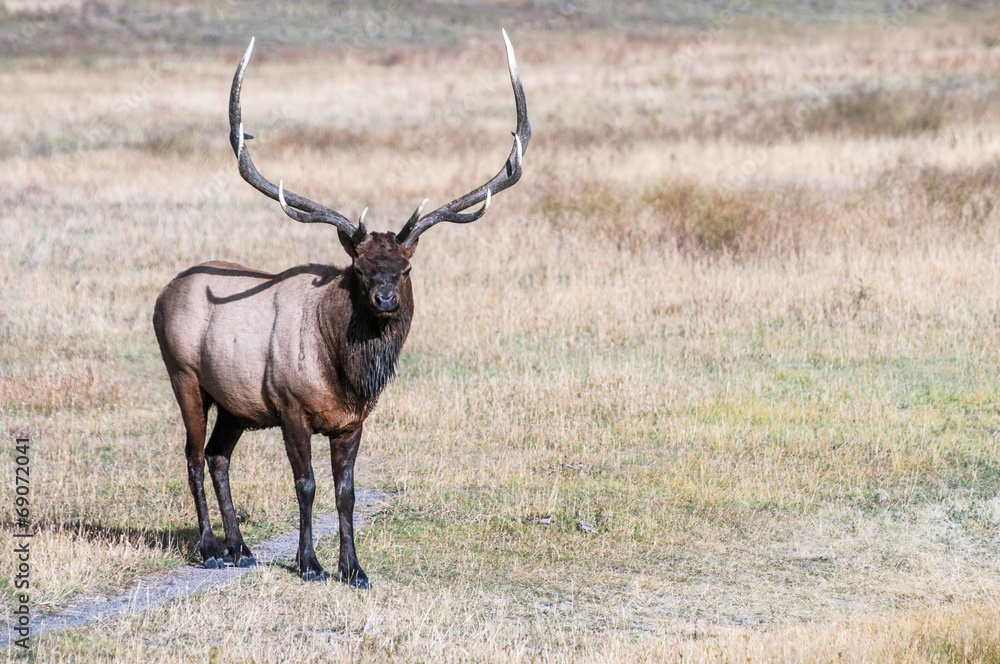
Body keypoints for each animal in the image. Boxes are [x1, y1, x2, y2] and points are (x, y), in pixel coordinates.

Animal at [152, 31, 530, 588]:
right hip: (185, 376)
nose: (385, 299)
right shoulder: (289, 406)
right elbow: (306, 485)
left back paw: (241, 547)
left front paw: (354, 569)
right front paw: (309, 564)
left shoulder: (352, 421)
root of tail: (162, 294)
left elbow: (345, 493)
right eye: (358, 267)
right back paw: (210, 548)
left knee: (219, 457)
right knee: (194, 456)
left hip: (236, 401)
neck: (343, 372)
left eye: (406, 268)